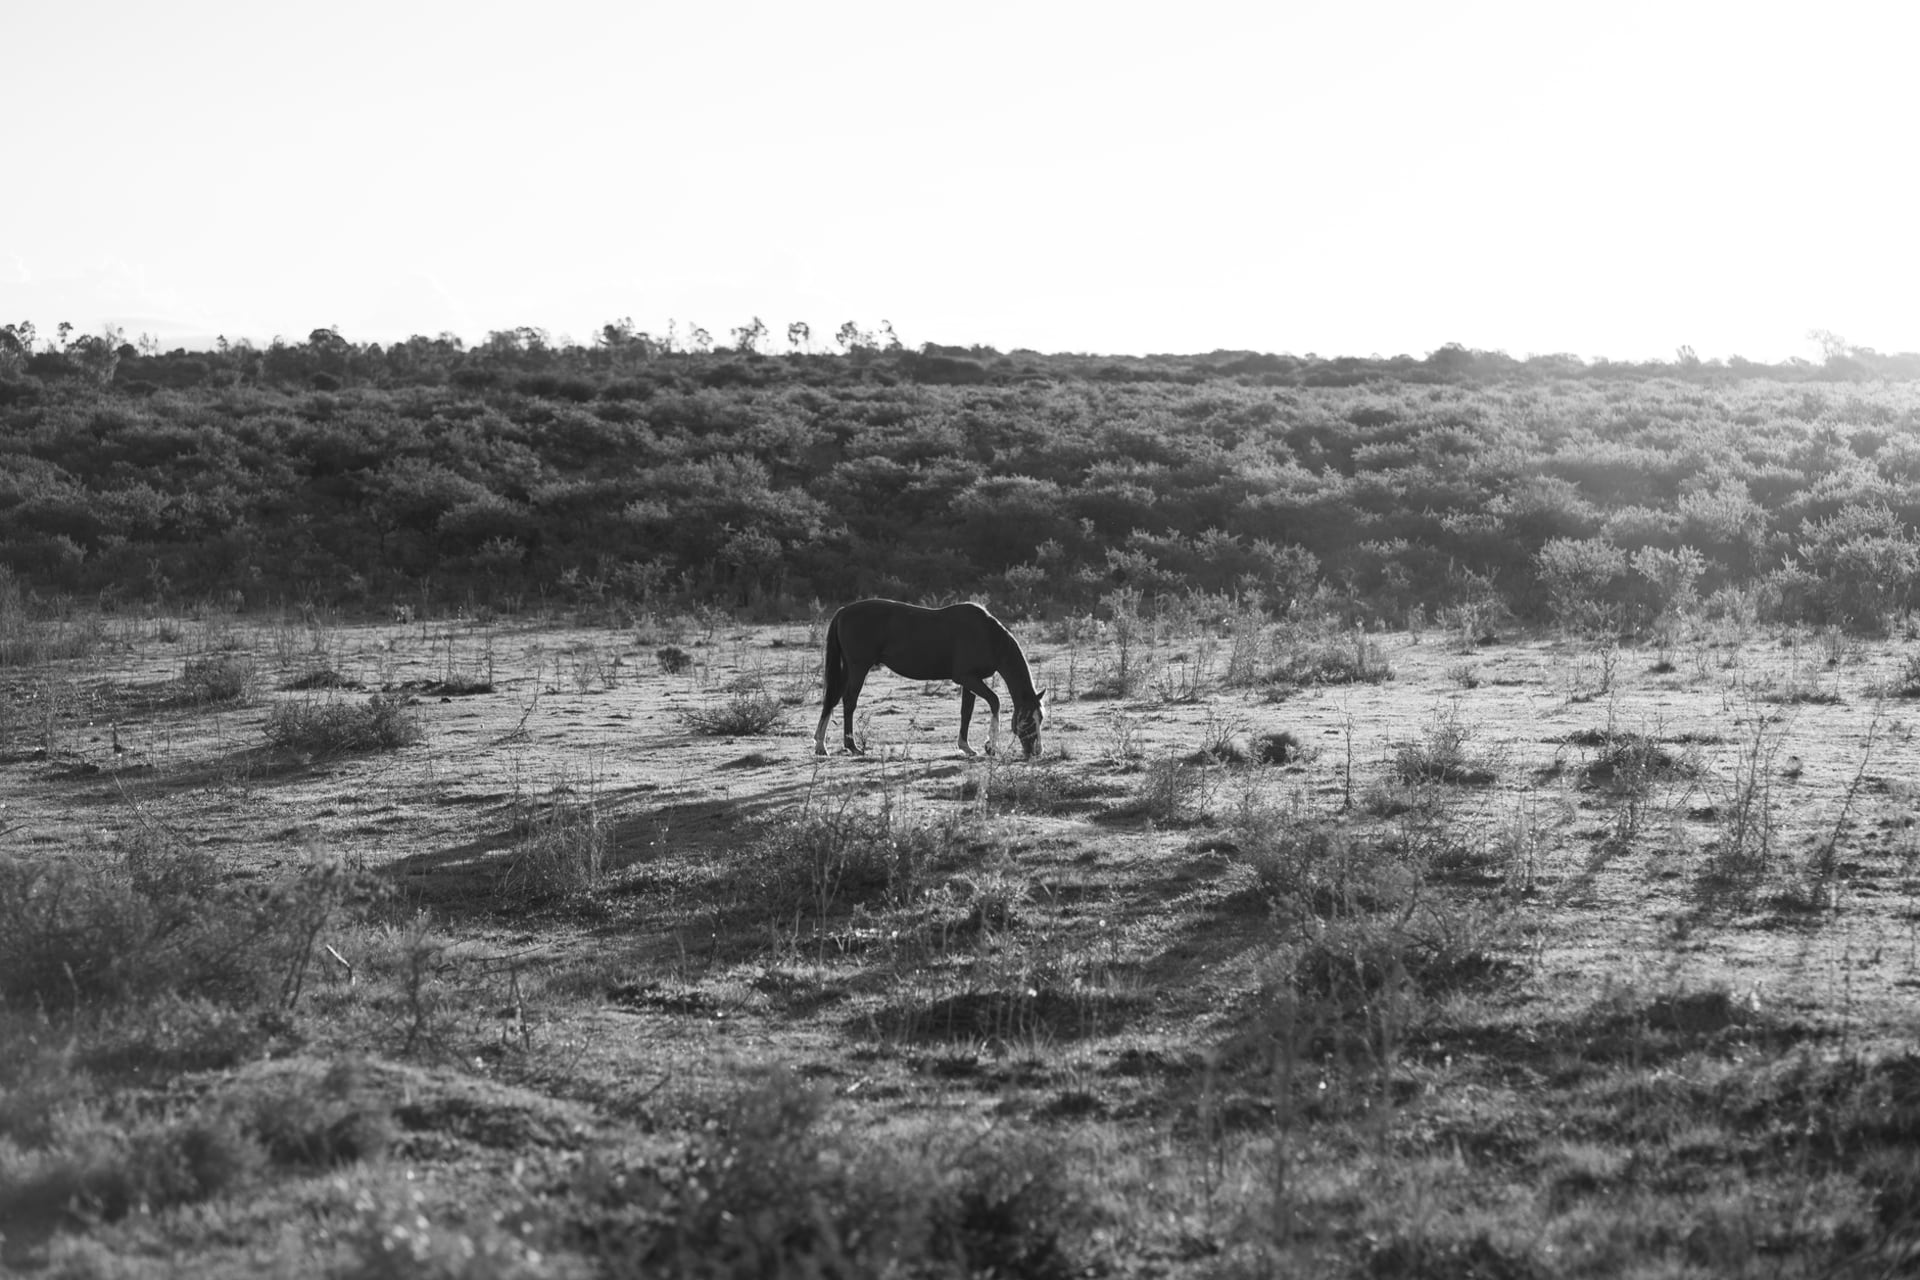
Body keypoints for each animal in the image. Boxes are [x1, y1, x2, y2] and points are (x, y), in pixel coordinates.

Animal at [813, 599, 1048, 758]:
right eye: (1028, 719)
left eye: (1041, 718)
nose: (1037, 751)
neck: (988, 636)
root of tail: (843, 611)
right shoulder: (967, 678)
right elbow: (995, 702)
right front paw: (991, 746)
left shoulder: (970, 681)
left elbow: (966, 711)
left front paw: (966, 746)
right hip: (858, 668)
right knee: (849, 701)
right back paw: (852, 746)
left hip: (848, 669)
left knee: (831, 699)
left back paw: (821, 745)